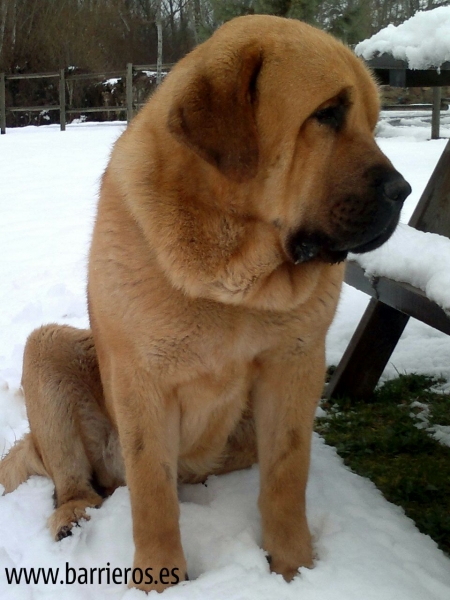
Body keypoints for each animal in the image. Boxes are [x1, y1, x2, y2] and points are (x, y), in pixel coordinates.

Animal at [0, 15, 410, 596]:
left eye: (373, 121)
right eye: (328, 113)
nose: (404, 190)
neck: (234, 267)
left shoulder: (295, 365)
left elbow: (287, 476)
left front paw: (296, 568)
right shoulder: (141, 381)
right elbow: (152, 493)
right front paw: (159, 579)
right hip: (49, 350)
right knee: (73, 478)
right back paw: (73, 516)